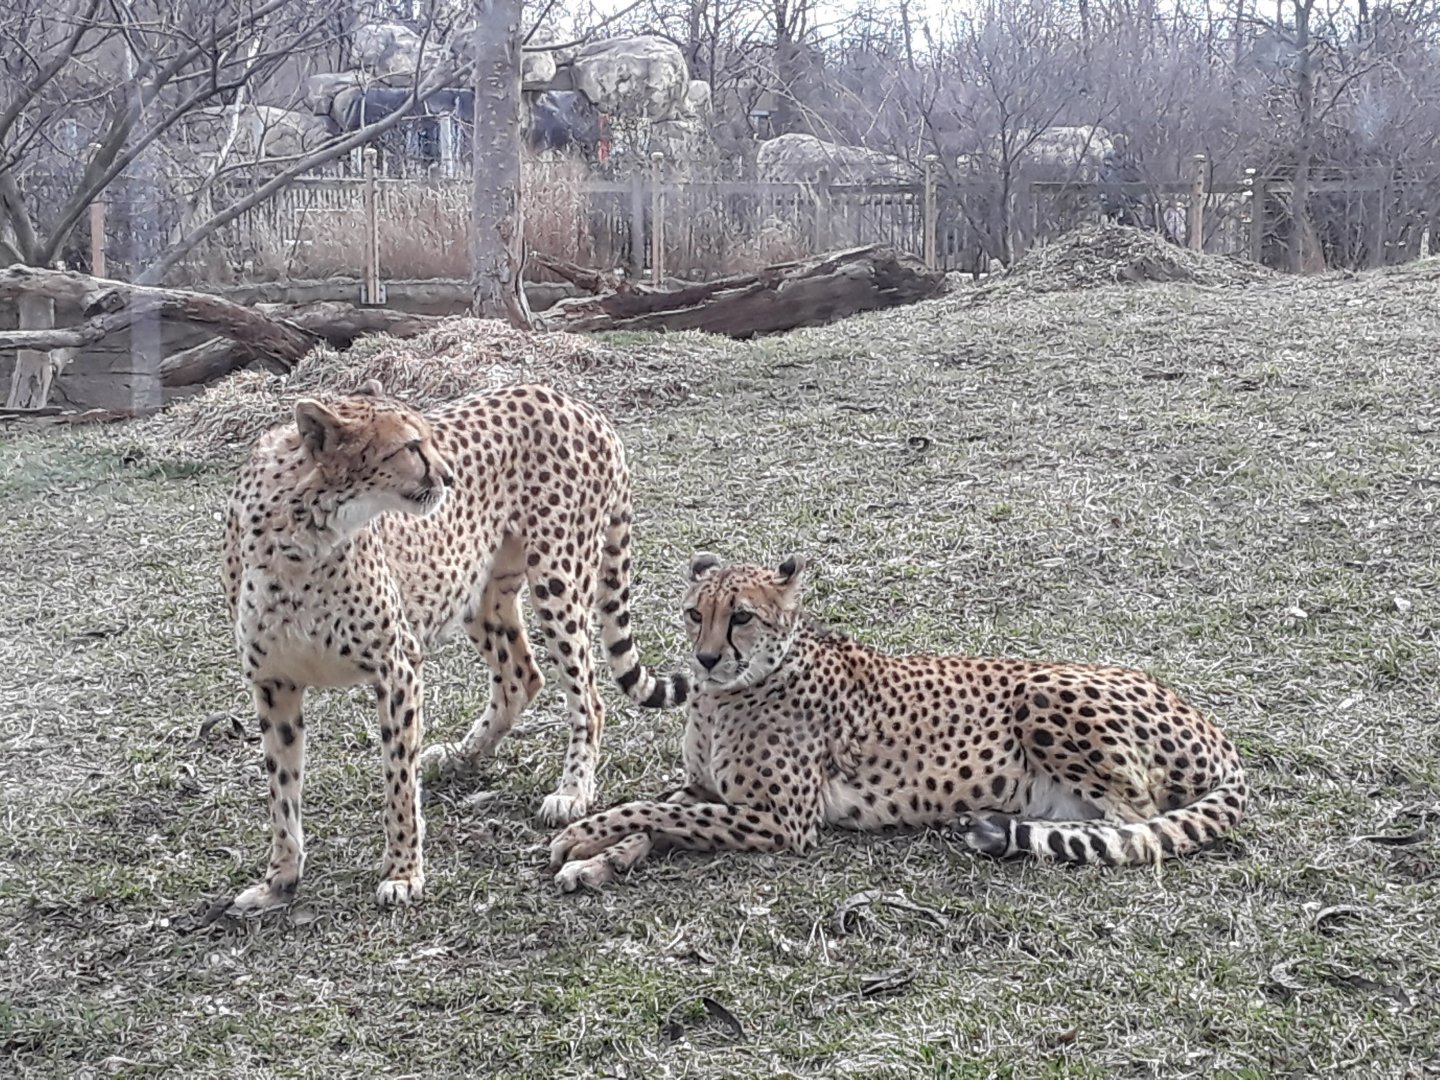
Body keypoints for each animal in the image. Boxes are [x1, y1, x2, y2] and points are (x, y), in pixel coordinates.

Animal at [223, 379, 686, 910]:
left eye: (428, 438)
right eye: (410, 446)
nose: (448, 477)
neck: (303, 536)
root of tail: (569, 399)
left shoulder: (396, 666)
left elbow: (398, 783)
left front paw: (403, 873)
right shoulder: (274, 684)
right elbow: (282, 792)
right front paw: (279, 878)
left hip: (557, 581)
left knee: (588, 697)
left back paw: (572, 791)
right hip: (477, 592)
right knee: (521, 677)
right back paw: (462, 754)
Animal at [548, 553, 1248, 889]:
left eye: (741, 616)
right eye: (696, 613)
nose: (706, 658)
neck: (729, 694)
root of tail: (1205, 720)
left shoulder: (784, 821)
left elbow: (654, 811)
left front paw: (581, 834)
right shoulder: (709, 790)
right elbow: (661, 812)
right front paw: (597, 860)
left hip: (1044, 692)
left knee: (1136, 825)